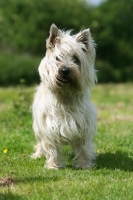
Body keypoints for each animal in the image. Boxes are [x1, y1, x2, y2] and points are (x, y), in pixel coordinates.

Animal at [31, 24, 97, 170]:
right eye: (57, 58)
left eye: (76, 59)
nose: (65, 70)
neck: (65, 93)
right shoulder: (48, 127)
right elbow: (51, 148)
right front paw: (53, 166)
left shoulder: (83, 126)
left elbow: (83, 147)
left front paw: (84, 165)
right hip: (37, 128)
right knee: (39, 142)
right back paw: (37, 155)